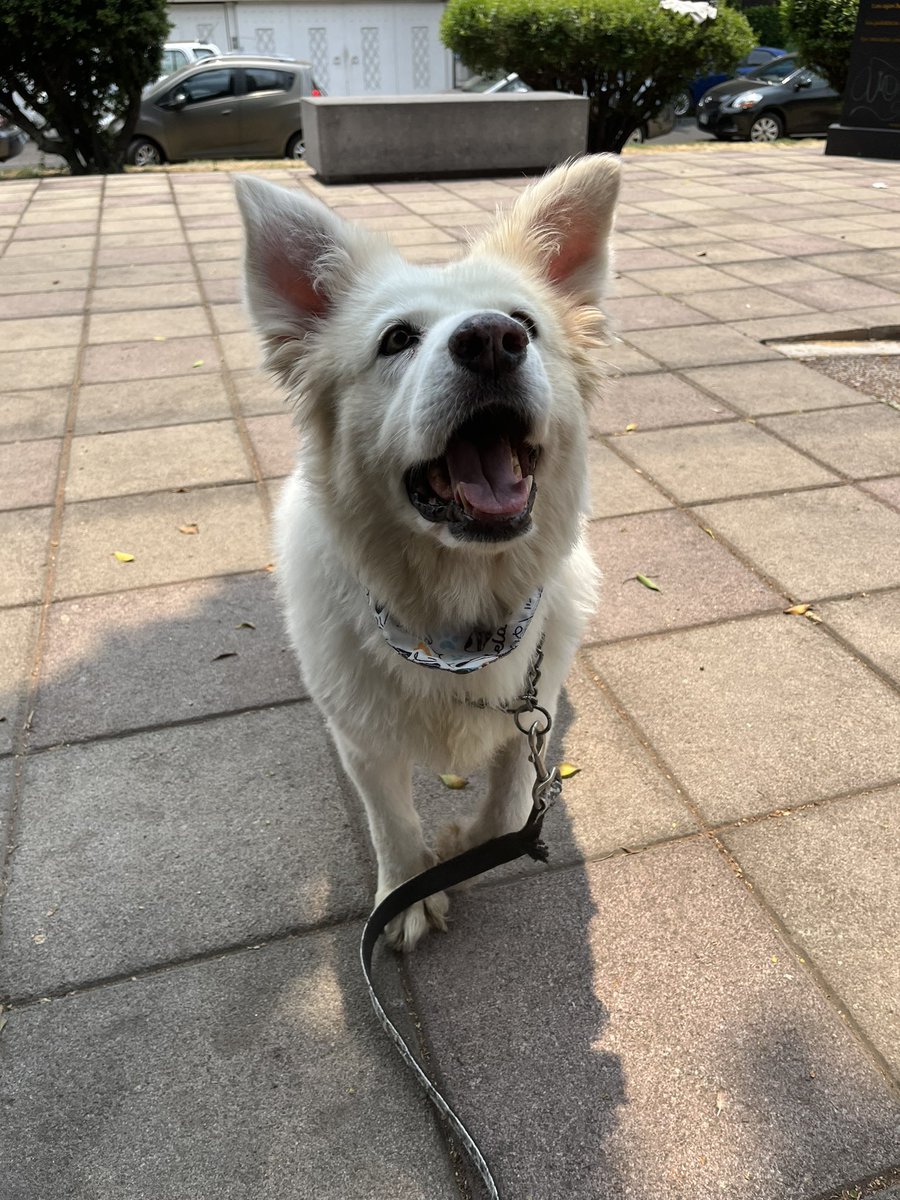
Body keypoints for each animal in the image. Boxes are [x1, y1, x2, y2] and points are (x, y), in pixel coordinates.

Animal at [236, 157, 624, 945]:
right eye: (395, 339)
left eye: (526, 324)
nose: (493, 339)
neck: (454, 617)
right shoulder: (364, 744)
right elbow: (391, 825)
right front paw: (408, 893)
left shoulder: (531, 713)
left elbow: (512, 807)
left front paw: (463, 851)